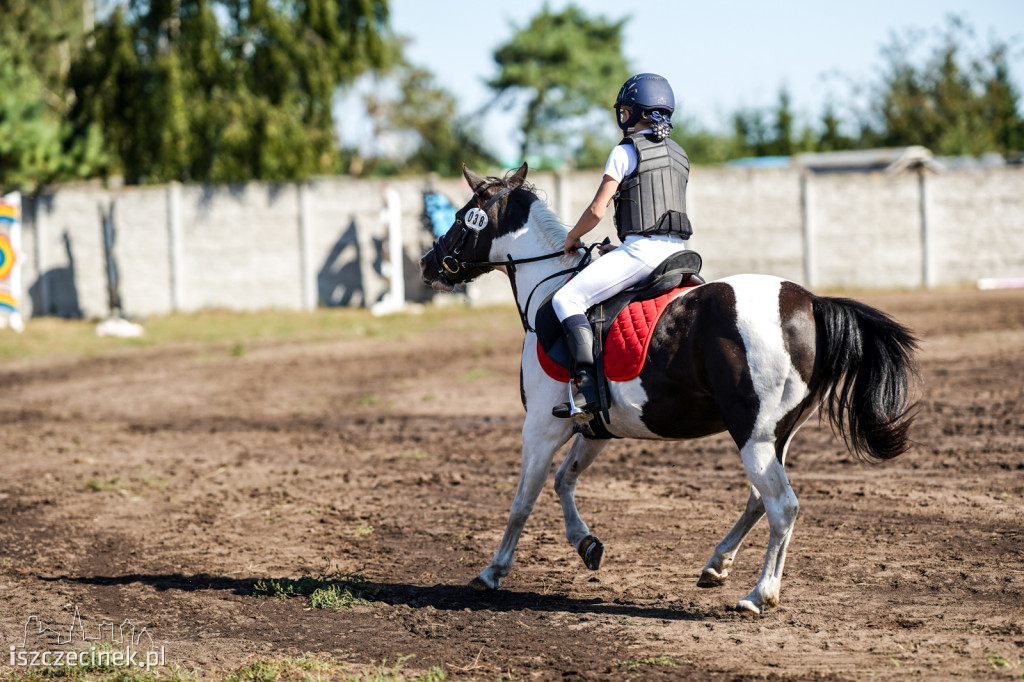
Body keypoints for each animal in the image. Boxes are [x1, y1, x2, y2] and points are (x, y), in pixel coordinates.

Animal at [419, 161, 917, 614]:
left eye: (462, 215)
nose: (428, 263)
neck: (549, 287)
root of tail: (810, 302)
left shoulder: (540, 427)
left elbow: (523, 501)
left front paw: (492, 572)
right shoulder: (596, 427)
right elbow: (564, 480)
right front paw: (586, 544)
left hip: (753, 435)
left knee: (782, 506)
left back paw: (759, 595)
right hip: (777, 436)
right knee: (760, 500)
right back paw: (717, 564)